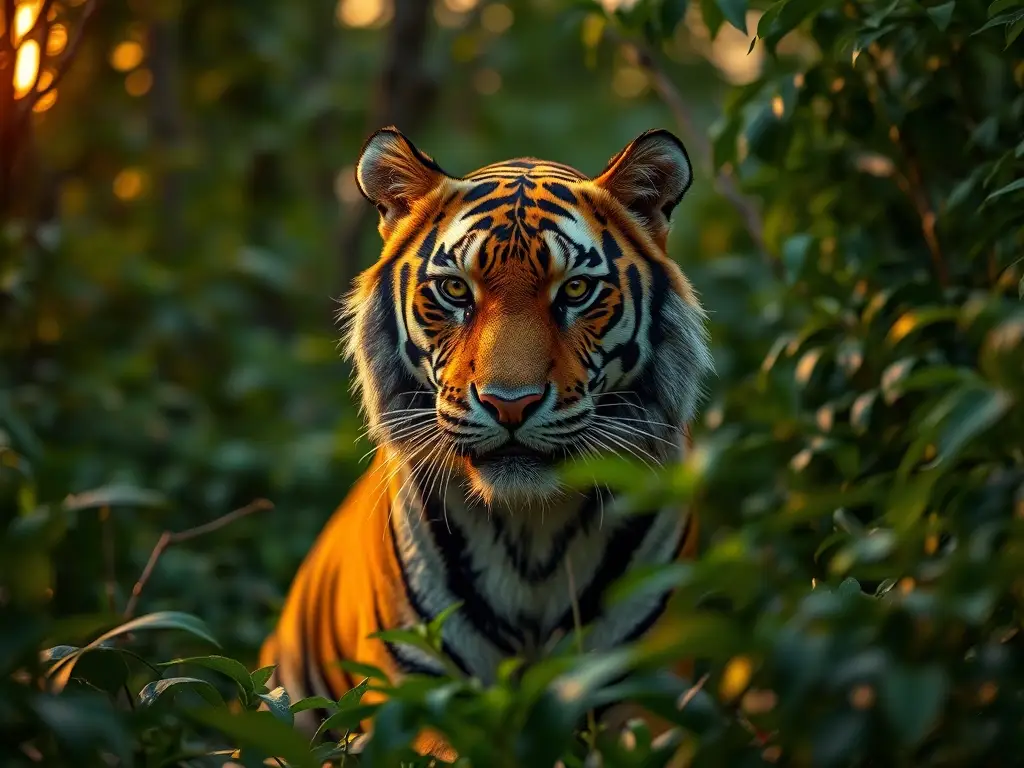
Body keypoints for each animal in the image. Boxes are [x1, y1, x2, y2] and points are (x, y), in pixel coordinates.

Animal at [259, 126, 715, 760]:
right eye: (455, 289)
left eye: (576, 290)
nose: (510, 403)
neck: (534, 532)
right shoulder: (422, 691)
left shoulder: (643, 685)